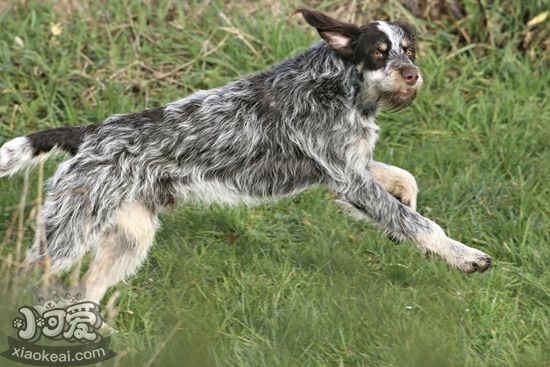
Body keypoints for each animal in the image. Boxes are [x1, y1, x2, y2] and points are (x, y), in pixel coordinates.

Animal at [0, 10, 494, 306]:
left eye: (409, 50)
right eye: (377, 52)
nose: (412, 75)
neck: (338, 86)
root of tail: (89, 133)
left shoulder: (348, 170)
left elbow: (405, 182)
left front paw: (403, 214)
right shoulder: (350, 180)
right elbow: (422, 225)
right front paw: (463, 255)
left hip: (128, 240)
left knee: (86, 293)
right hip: (68, 237)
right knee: (27, 277)